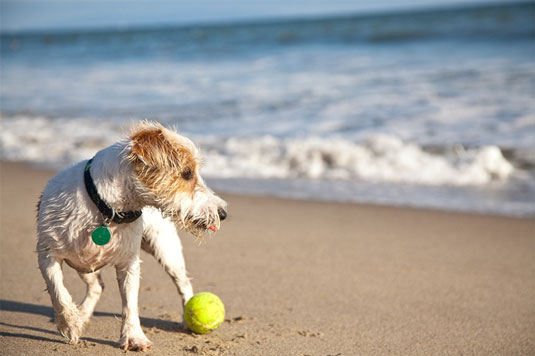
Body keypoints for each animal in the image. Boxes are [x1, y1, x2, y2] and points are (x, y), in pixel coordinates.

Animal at [35, 121, 228, 350]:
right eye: (187, 173)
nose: (222, 213)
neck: (106, 210)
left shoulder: (128, 264)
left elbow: (130, 304)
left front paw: (134, 336)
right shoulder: (47, 254)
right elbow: (58, 291)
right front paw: (70, 324)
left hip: (167, 250)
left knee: (183, 284)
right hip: (83, 264)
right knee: (96, 287)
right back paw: (81, 314)